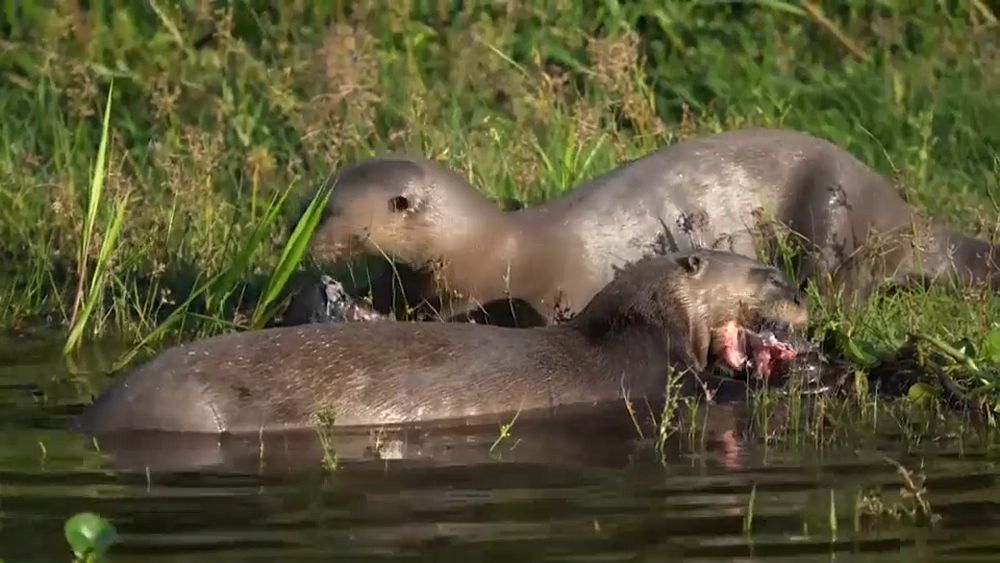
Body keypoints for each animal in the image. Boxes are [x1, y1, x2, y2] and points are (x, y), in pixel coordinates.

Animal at [304, 126, 1000, 330]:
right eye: (318, 203)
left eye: (341, 217)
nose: (311, 245)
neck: (489, 248)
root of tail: (899, 209)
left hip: (832, 208)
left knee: (847, 279)